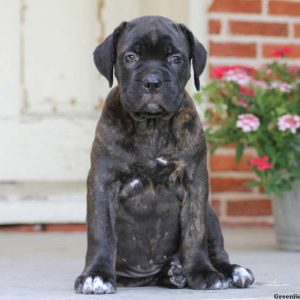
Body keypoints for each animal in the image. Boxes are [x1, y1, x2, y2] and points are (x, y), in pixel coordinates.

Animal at [74, 15, 254, 294]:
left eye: (176, 58)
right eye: (130, 57)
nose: (153, 82)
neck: (152, 125)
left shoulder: (195, 183)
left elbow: (194, 232)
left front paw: (203, 272)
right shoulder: (103, 182)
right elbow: (101, 231)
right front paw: (96, 275)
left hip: (210, 213)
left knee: (217, 250)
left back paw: (228, 271)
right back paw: (173, 273)